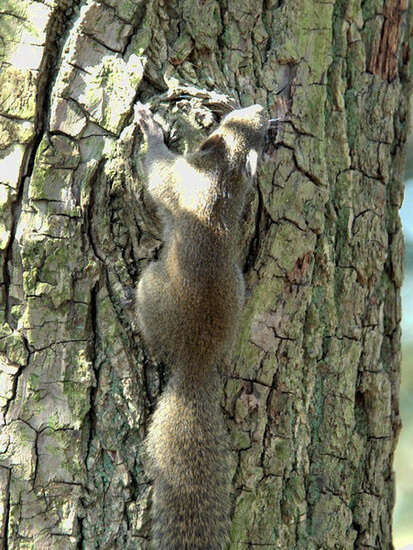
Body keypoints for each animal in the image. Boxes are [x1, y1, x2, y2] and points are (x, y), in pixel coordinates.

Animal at [134, 100, 268, 550]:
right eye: (238, 121)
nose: (262, 107)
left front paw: (151, 129)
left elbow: (157, 172)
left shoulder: (177, 180)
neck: (222, 178)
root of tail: (199, 354)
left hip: (150, 286)